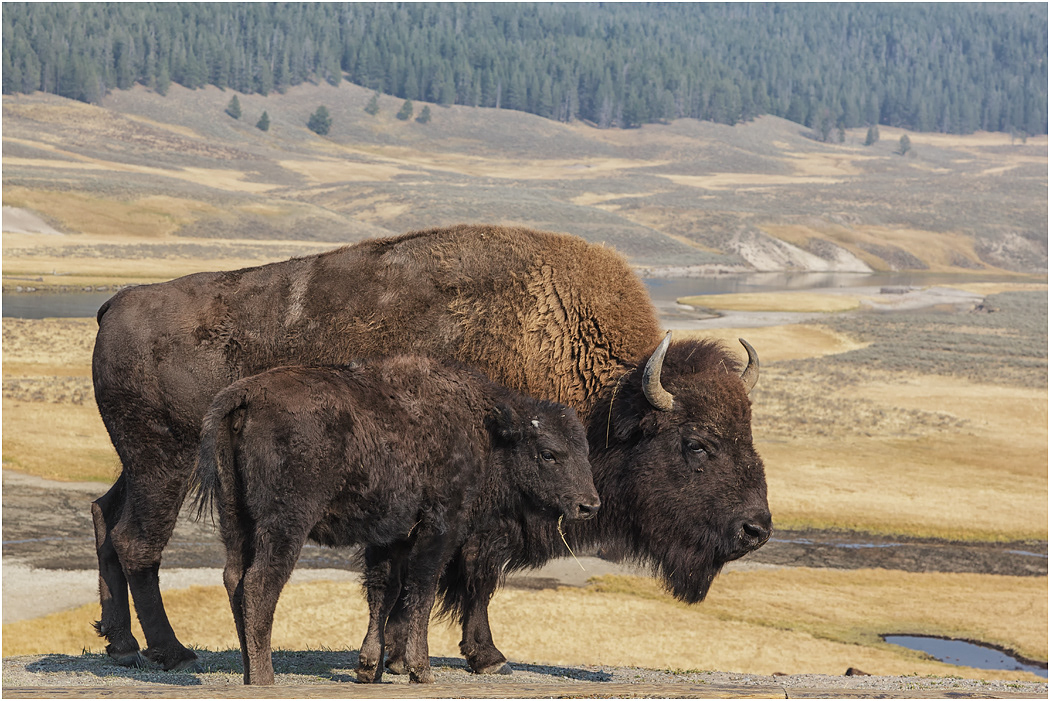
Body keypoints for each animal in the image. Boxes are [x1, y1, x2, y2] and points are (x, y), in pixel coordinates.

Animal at [191, 356, 599, 685]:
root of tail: (246, 394)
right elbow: (421, 591)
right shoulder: (439, 528)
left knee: (234, 579)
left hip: (235, 519)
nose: (589, 505)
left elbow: (384, 594)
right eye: (548, 454)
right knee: (260, 584)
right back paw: (265, 679)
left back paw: (250, 674)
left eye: (585, 450)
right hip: (285, 523)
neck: (483, 429)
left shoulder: (390, 538)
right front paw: (421, 670)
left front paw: (368, 669)